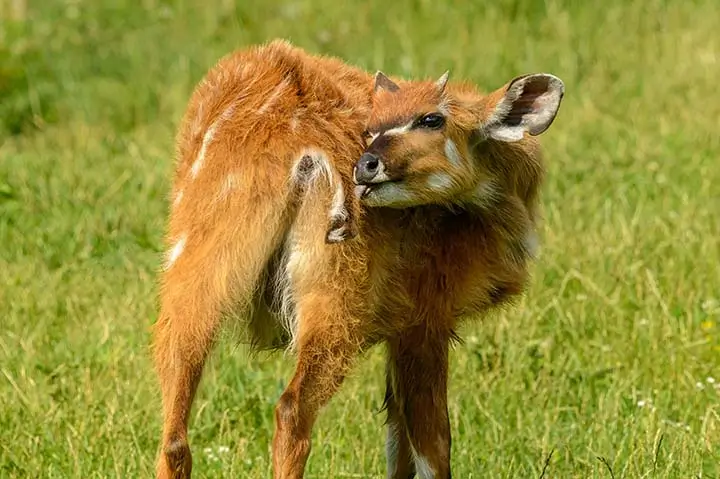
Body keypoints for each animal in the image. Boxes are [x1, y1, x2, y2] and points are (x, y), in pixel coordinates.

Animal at [155, 38, 564, 479]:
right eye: (372, 127)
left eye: (432, 119)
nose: (366, 165)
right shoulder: (425, 319)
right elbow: (432, 444)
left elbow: (397, 442)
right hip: (336, 296)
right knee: (291, 409)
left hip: (192, 272)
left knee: (174, 434)